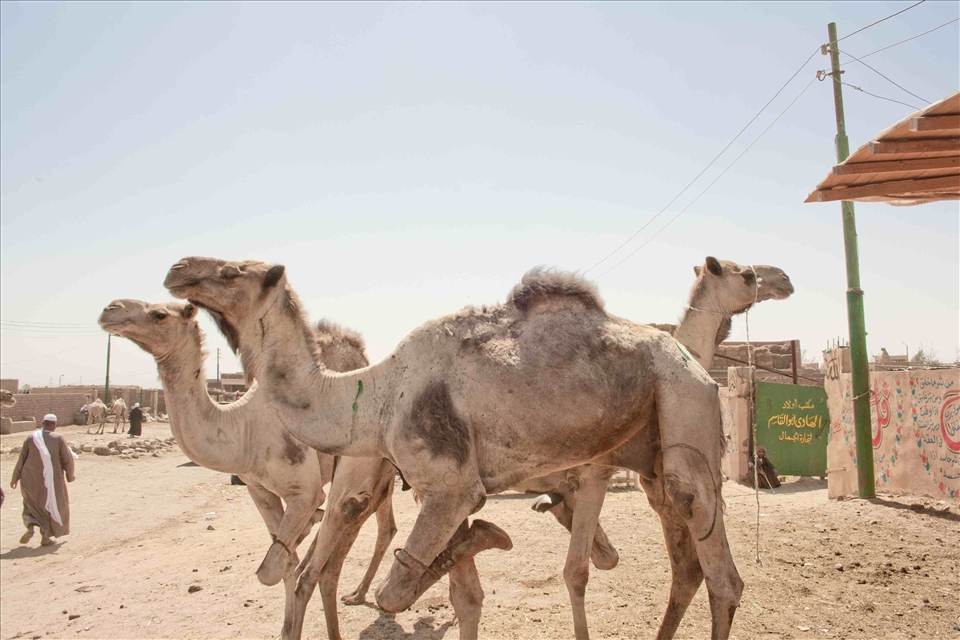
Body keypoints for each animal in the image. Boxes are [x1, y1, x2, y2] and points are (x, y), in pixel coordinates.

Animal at [98, 299, 400, 639]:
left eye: (160, 314)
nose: (110, 309)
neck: (245, 430)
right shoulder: (258, 489)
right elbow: (285, 566)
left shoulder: (305, 492)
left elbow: (274, 570)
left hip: (359, 473)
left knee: (329, 555)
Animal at [165, 257, 744, 640]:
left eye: (231, 272)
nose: (177, 269)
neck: (377, 394)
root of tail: (697, 366)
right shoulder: (441, 490)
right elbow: (463, 595)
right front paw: (484, 539)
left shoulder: (450, 484)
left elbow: (395, 591)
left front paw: (493, 535)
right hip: (651, 454)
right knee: (687, 564)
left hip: (684, 405)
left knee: (722, 574)